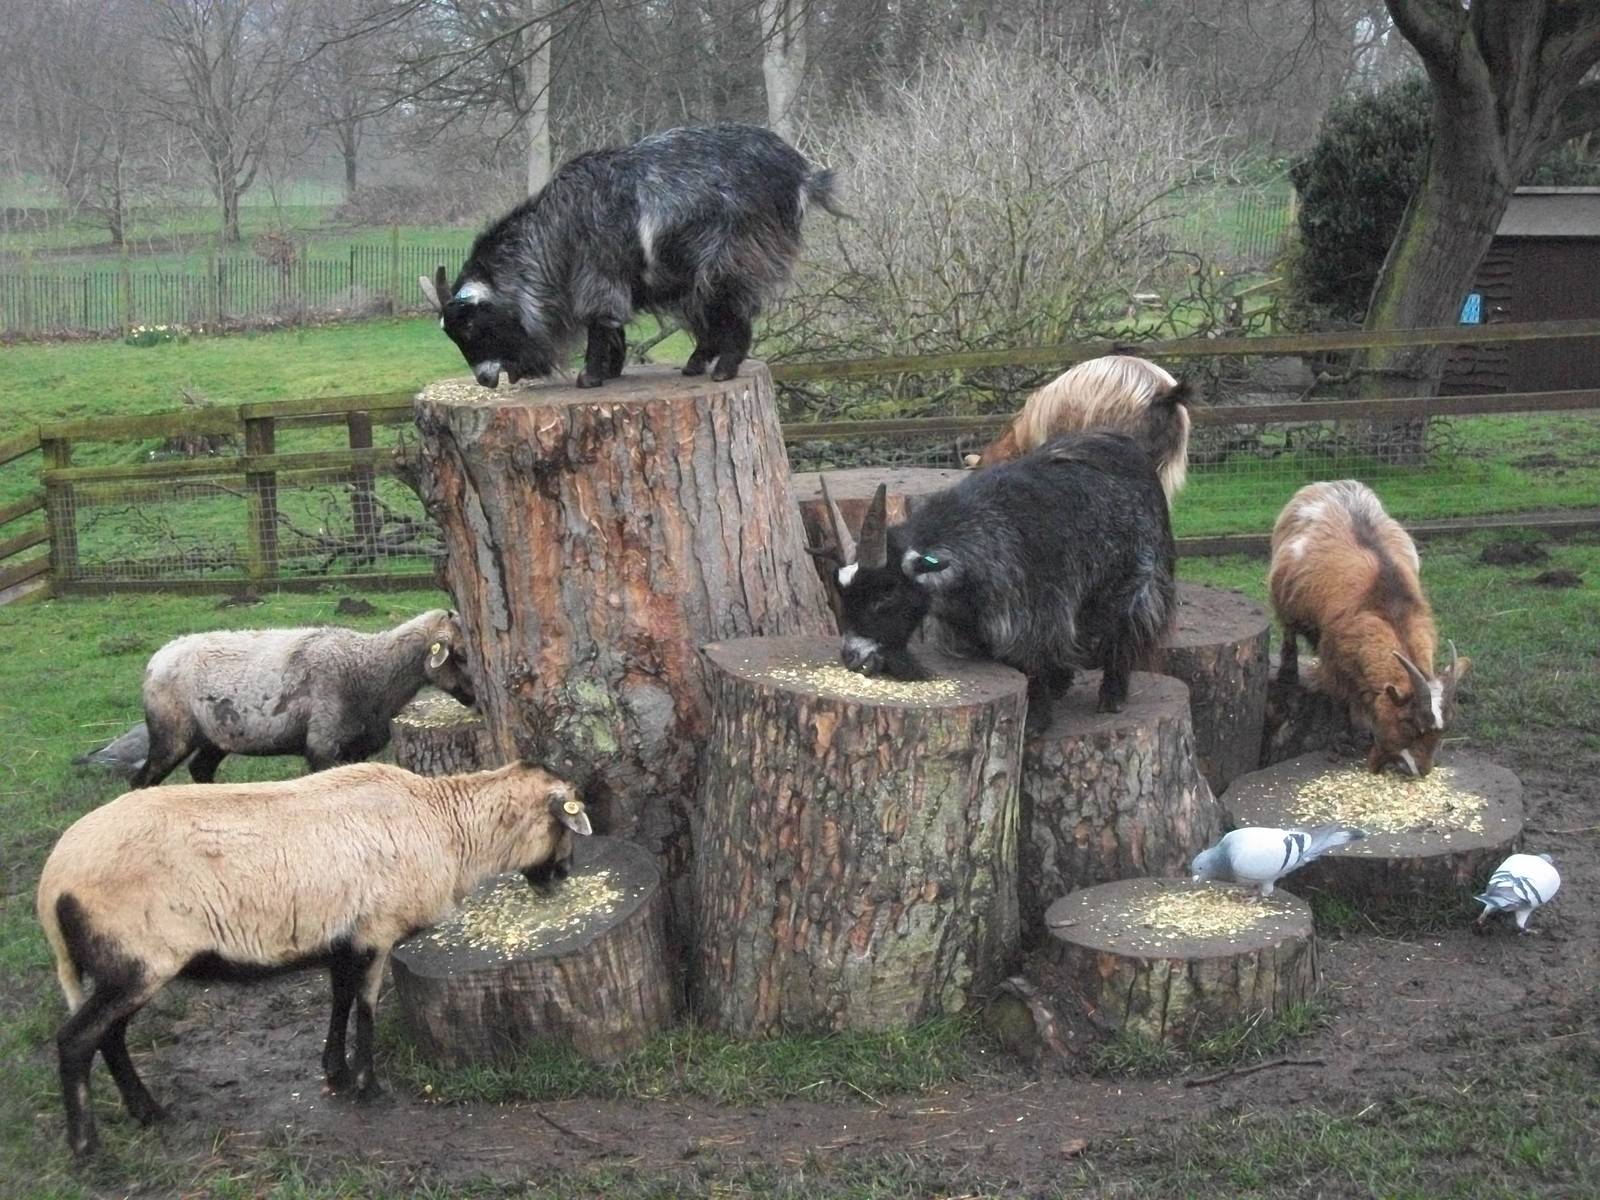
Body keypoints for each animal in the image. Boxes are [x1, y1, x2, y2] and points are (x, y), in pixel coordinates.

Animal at [37, 760, 590, 1158]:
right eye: (564, 826)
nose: (562, 876)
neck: (447, 827)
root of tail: (51, 885)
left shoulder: (342, 938)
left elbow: (340, 1000)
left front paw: (336, 1074)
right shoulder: (377, 929)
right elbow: (365, 1007)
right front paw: (368, 1085)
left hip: (123, 966)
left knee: (109, 1036)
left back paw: (149, 1113)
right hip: (137, 960)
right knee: (75, 1040)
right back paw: (87, 1146)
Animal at [75, 610, 475, 787]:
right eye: (460, 654)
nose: (475, 697)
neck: (369, 668)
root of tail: (155, 660)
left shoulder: (355, 749)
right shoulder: (322, 745)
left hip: (217, 735)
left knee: (200, 769)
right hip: (169, 734)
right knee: (141, 781)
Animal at [419, 123, 844, 389]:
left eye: (470, 327)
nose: (484, 379)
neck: (554, 234)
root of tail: (802, 174)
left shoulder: (597, 277)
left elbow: (599, 325)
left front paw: (590, 378)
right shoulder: (611, 282)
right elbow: (614, 330)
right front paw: (611, 371)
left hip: (732, 258)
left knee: (735, 312)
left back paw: (723, 370)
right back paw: (695, 364)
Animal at [811, 432, 1176, 731]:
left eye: (886, 593)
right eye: (843, 592)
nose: (851, 656)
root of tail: (1127, 446)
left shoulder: (1032, 618)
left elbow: (1034, 665)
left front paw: (1037, 721)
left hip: (1138, 580)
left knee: (1125, 629)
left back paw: (1111, 698)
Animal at [1268, 480, 1469, 776]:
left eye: (1443, 732)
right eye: (1408, 722)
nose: (1419, 770)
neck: (1386, 603)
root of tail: (1330, 484)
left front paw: (1363, 734)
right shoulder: (1334, 655)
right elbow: (1339, 696)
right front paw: (1342, 741)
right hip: (1284, 599)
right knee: (1289, 629)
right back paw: (1288, 673)